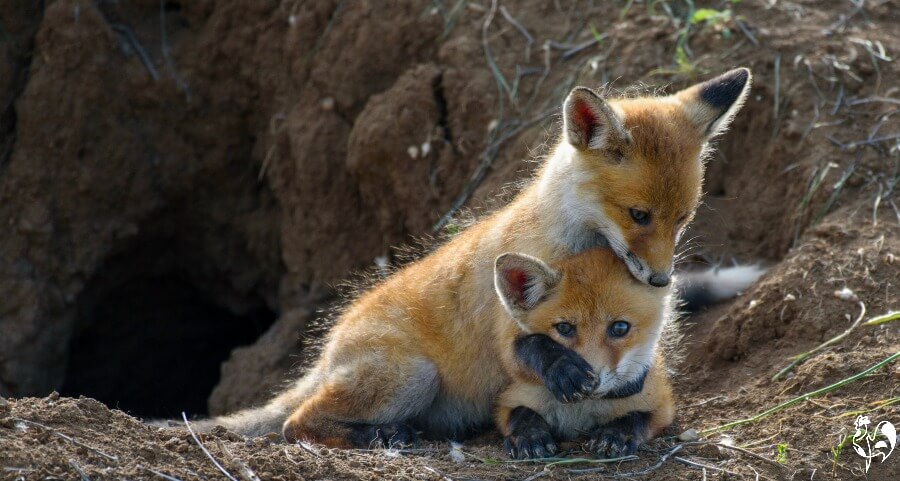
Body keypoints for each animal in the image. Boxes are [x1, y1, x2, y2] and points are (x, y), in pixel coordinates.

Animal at [492, 250, 674, 459]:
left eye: (620, 327)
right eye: (564, 328)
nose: (594, 381)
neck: (579, 411)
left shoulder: (662, 405)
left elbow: (635, 417)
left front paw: (614, 434)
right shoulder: (512, 398)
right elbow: (522, 413)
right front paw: (530, 435)